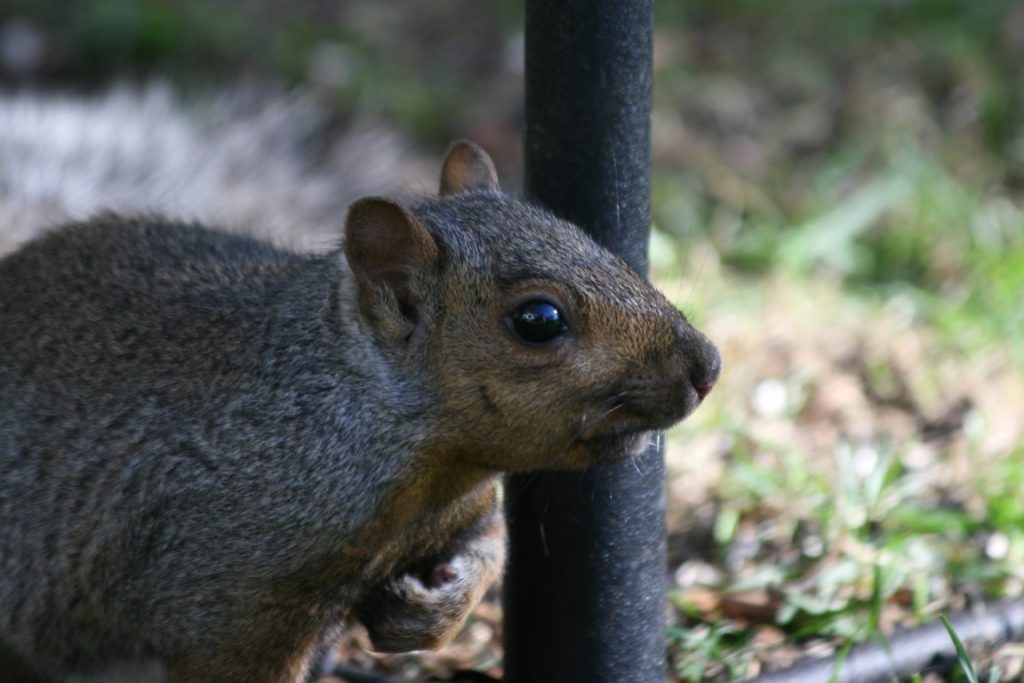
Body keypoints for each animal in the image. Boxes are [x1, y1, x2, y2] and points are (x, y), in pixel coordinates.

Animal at [0, 90, 720, 683]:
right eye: (538, 320)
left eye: (587, 237)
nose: (706, 366)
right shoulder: (229, 604)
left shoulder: (461, 507)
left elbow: (491, 548)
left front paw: (429, 610)